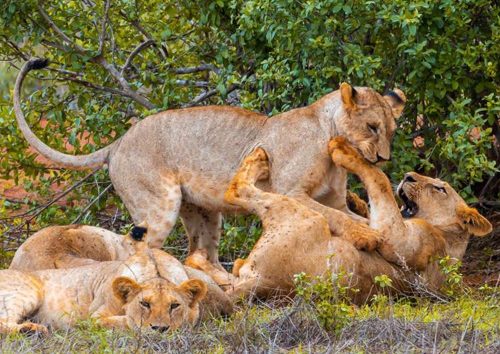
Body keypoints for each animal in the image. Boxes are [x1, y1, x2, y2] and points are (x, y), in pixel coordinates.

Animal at [0, 243, 207, 334]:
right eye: (145, 304)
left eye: (174, 306)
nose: (160, 329)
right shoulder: (96, 317)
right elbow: (124, 322)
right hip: (27, 291)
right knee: (4, 323)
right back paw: (31, 329)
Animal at [14, 58, 406, 262]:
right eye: (372, 127)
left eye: (391, 129)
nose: (383, 158)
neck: (329, 133)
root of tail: (118, 142)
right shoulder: (291, 191)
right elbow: (334, 217)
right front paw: (367, 237)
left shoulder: (333, 197)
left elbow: (344, 213)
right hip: (159, 205)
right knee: (132, 249)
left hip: (203, 213)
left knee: (199, 252)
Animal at [185, 138, 492, 302]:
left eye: (440, 188)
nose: (408, 176)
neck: (447, 236)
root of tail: (266, 283)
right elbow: (369, 207)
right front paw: (357, 201)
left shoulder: (404, 242)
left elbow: (378, 178)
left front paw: (343, 150)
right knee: (220, 273)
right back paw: (201, 260)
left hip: (303, 216)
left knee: (237, 190)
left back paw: (259, 159)